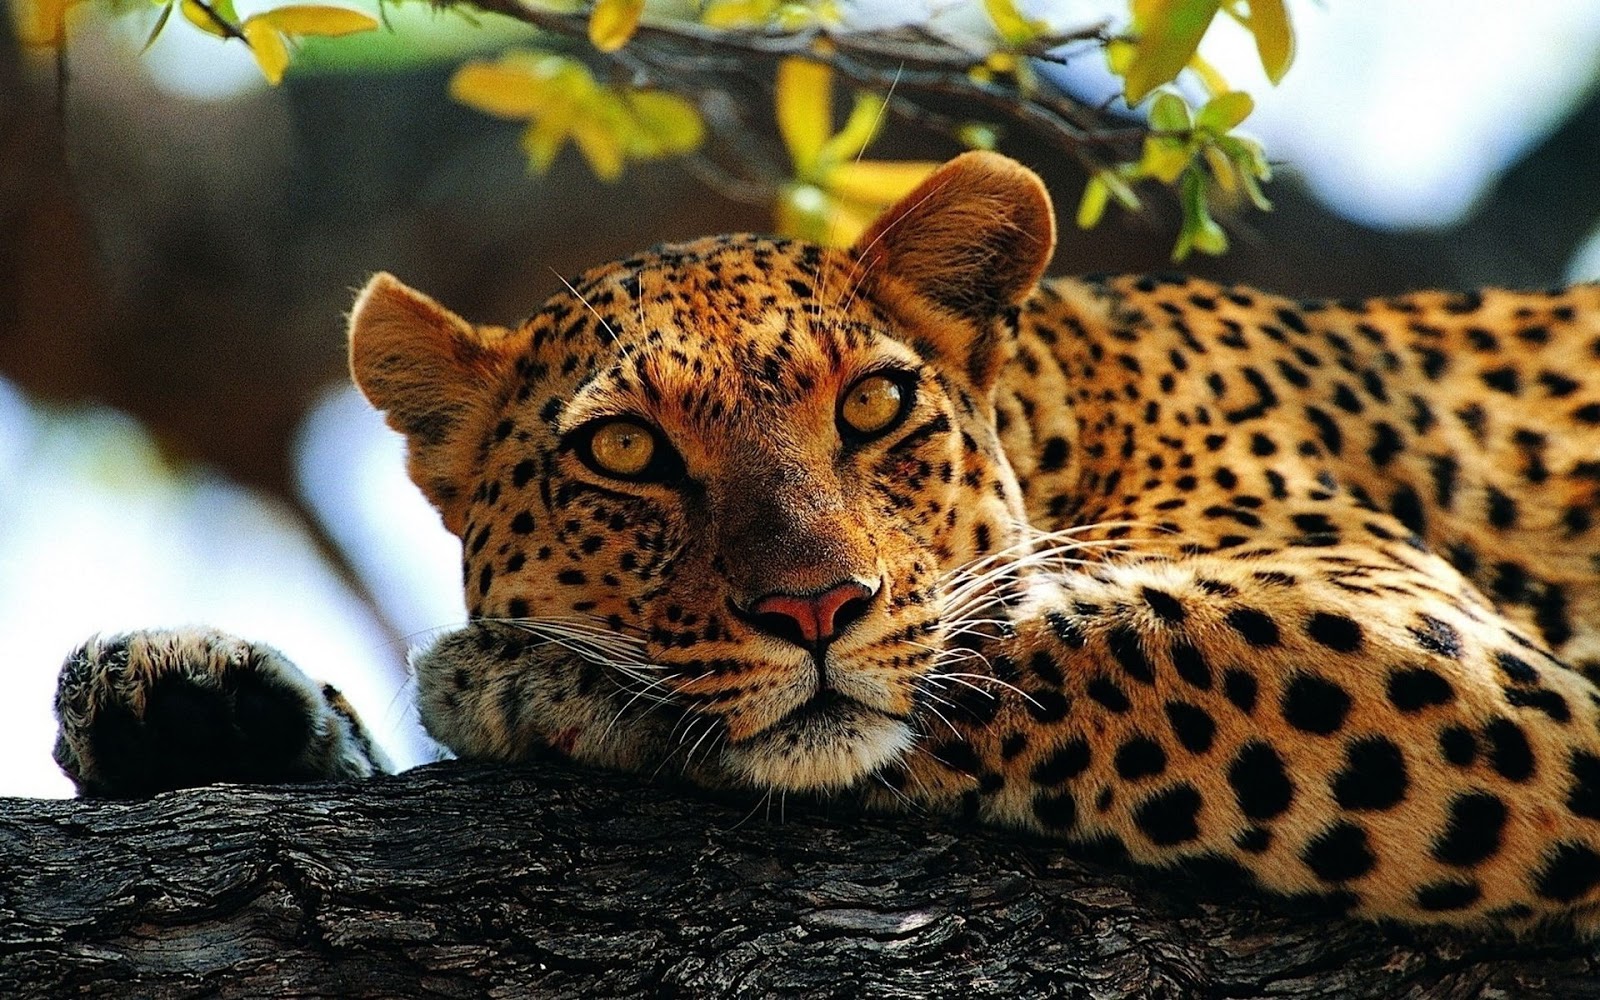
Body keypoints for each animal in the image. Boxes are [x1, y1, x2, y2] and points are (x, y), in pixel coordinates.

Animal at [51, 151, 1600, 933]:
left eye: (873, 405)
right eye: (625, 453)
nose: (812, 609)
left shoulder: (1448, 656)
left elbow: (1043, 646)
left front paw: (526, 678)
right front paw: (195, 701)